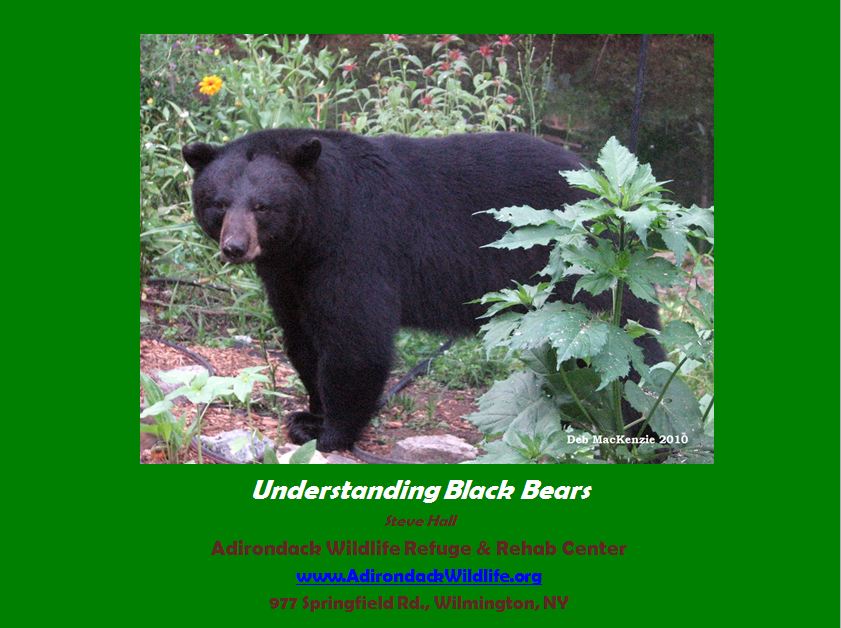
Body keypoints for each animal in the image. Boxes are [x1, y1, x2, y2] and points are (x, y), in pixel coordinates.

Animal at [183, 129, 663, 452]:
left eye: (263, 206)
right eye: (218, 203)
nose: (235, 247)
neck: (315, 227)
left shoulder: (356, 244)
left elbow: (356, 342)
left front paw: (330, 432)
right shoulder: (288, 276)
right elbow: (302, 341)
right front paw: (308, 415)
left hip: (585, 264)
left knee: (628, 343)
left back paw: (641, 427)